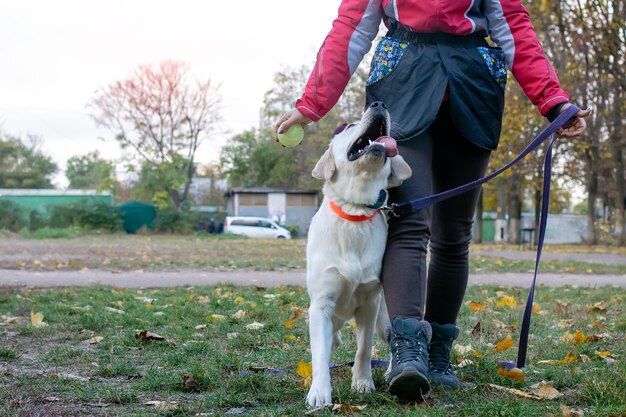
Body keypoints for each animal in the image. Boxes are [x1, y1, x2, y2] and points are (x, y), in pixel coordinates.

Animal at [304, 101, 410, 406]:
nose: (379, 104)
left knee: (391, 341)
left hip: (386, 318)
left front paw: (362, 383)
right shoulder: (321, 305)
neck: (355, 213)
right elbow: (319, 356)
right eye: (349, 127)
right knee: (332, 340)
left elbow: (363, 350)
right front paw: (319, 392)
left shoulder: (370, 303)